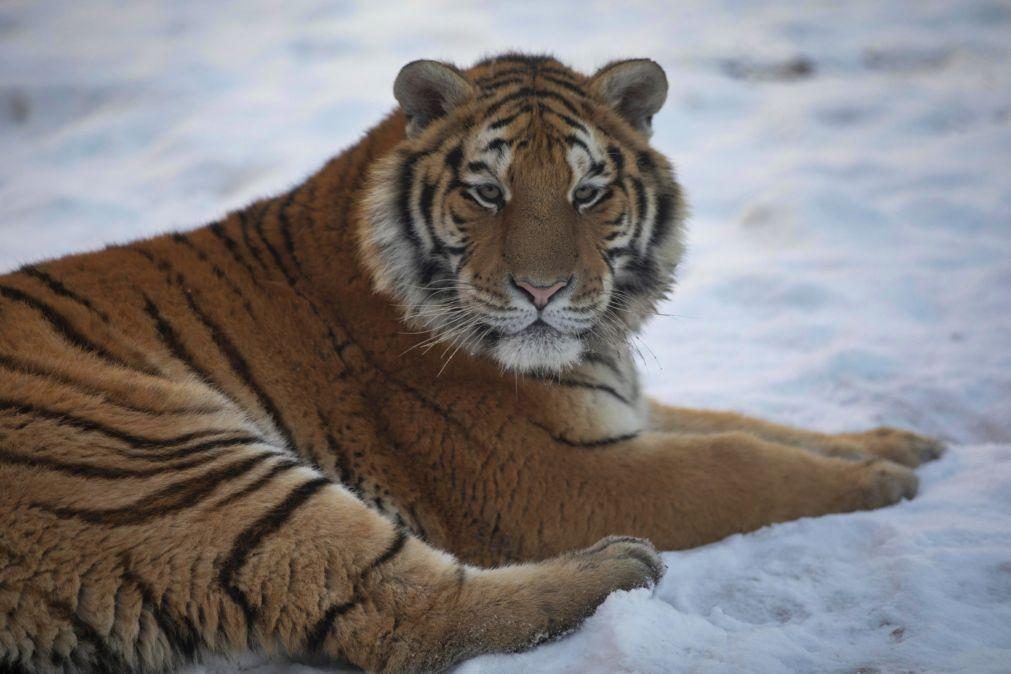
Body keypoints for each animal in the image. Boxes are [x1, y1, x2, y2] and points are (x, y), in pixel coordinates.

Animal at [1, 54, 946, 674]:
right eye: (487, 192)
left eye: (587, 192)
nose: (541, 288)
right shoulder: (550, 473)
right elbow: (738, 463)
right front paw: (882, 483)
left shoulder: (618, 409)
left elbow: (749, 424)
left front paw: (902, 443)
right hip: (157, 451)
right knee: (400, 619)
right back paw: (618, 569)